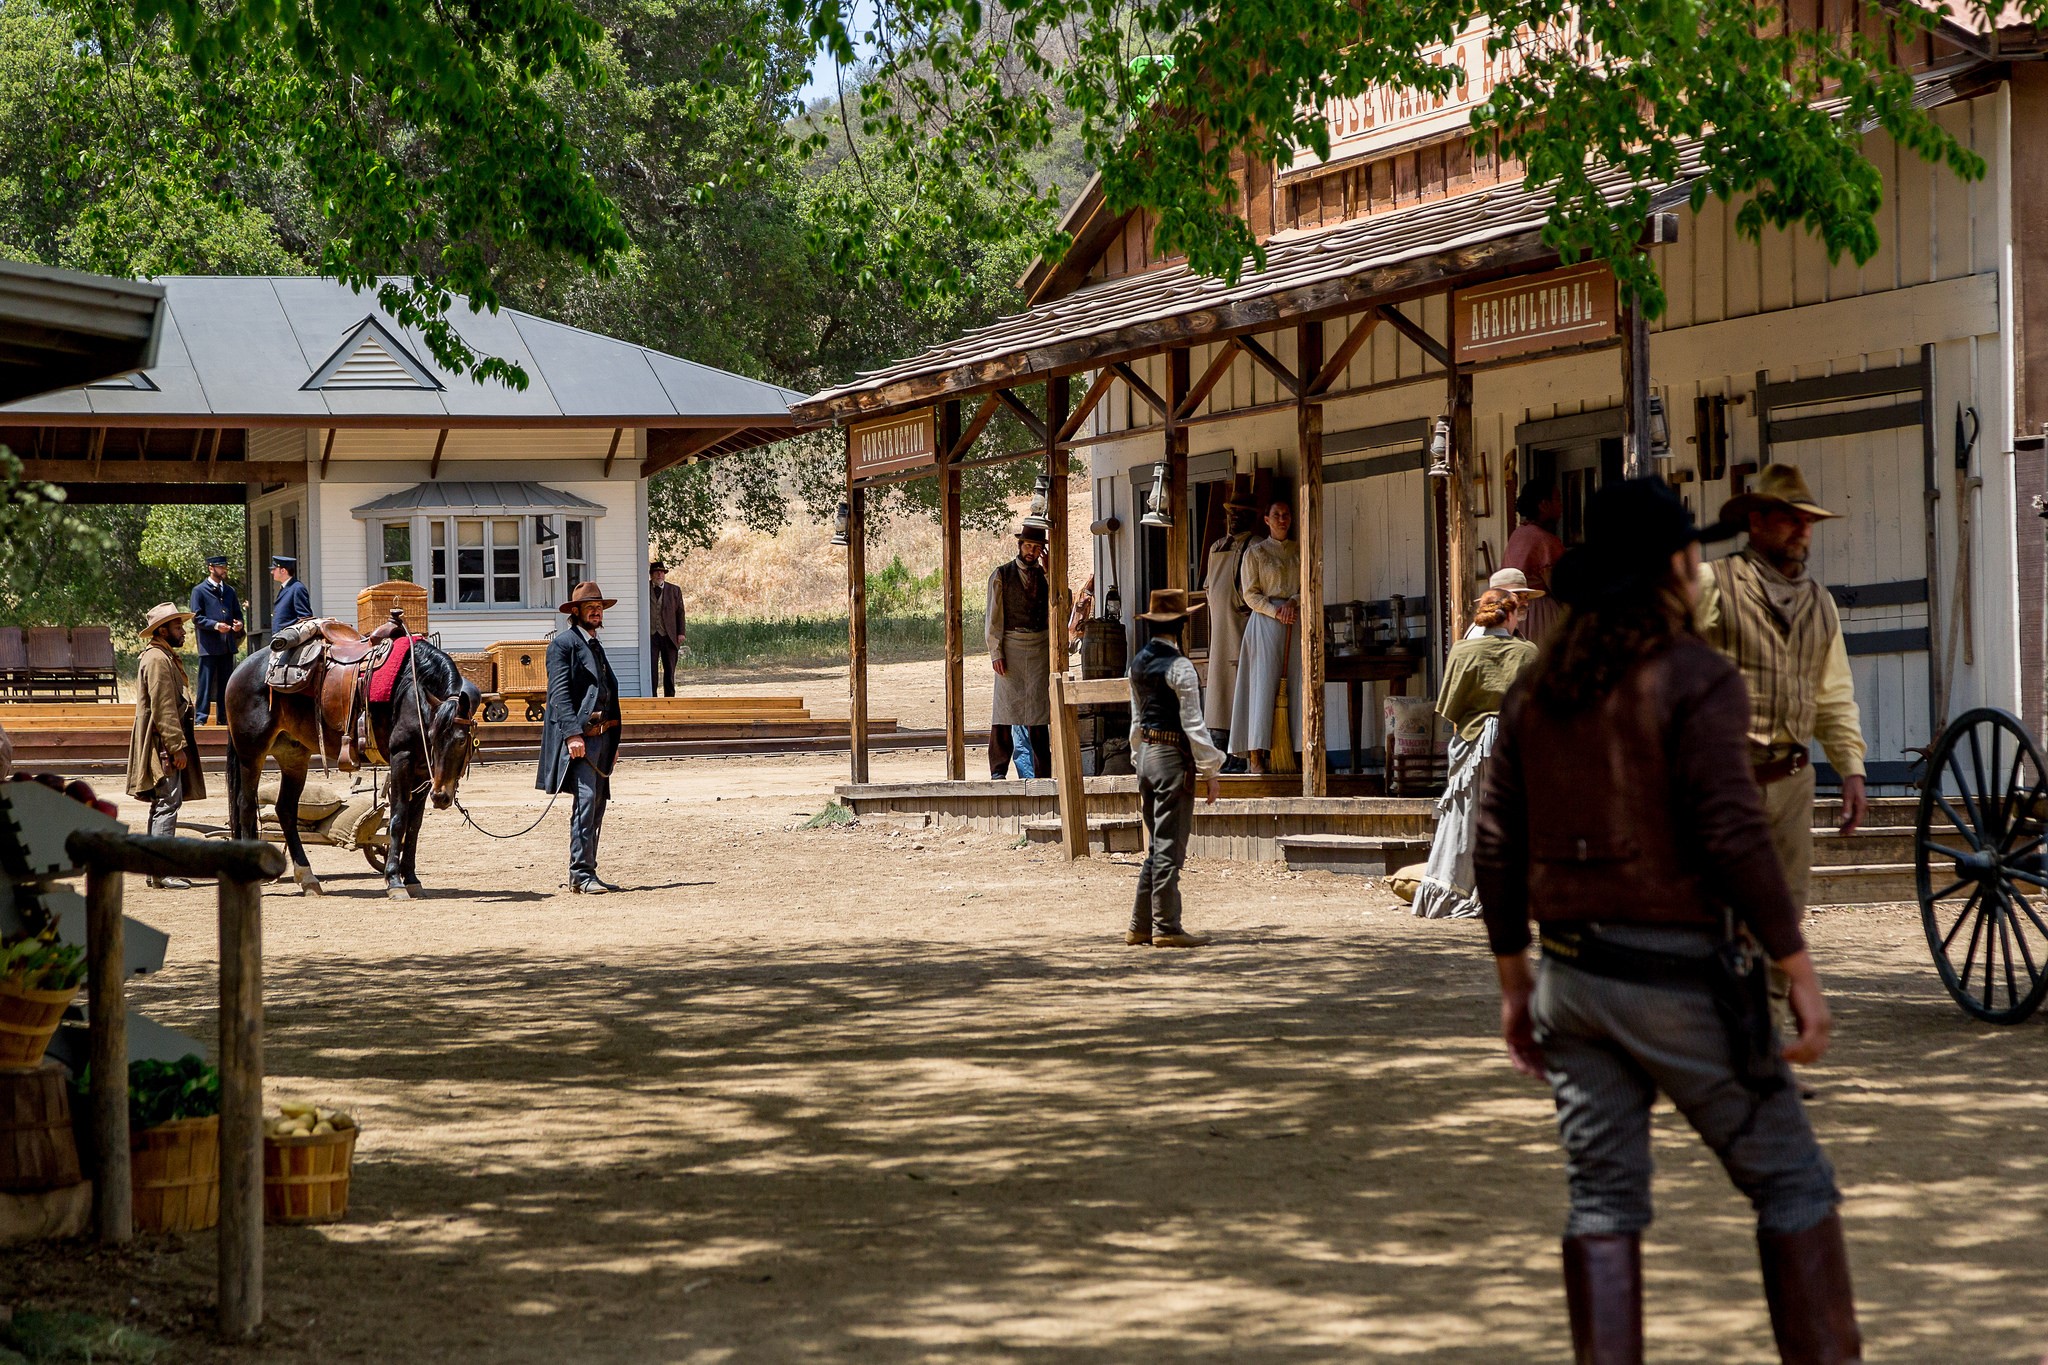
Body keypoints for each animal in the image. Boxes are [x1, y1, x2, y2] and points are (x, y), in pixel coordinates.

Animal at [223, 638, 479, 900]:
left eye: (461, 740)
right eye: (433, 736)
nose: (440, 796)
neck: (413, 691)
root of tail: (240, 669)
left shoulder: (423, 771)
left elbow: (414, 826)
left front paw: (412, 880)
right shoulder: (402, 758)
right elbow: (398, 818)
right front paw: (394, 881)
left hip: (293, 756)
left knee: (285, 809)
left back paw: (308, 879)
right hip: (252, 752)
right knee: (245, 805)